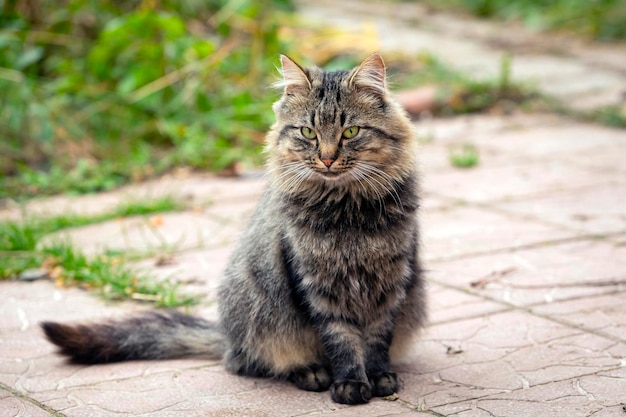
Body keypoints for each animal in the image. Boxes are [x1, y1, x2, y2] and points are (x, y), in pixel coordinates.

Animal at [41, 53, 426, 404]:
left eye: (350, 132)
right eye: (308, 132)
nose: (328, 158)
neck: (347, 212)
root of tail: (226, 338)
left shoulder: (392, 282)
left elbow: (376, 340)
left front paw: (378, 378)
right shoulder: (316, 285)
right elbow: (342, 340)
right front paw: (350, 384)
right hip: (257, 312)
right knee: (248, 362)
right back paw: (310, 372)